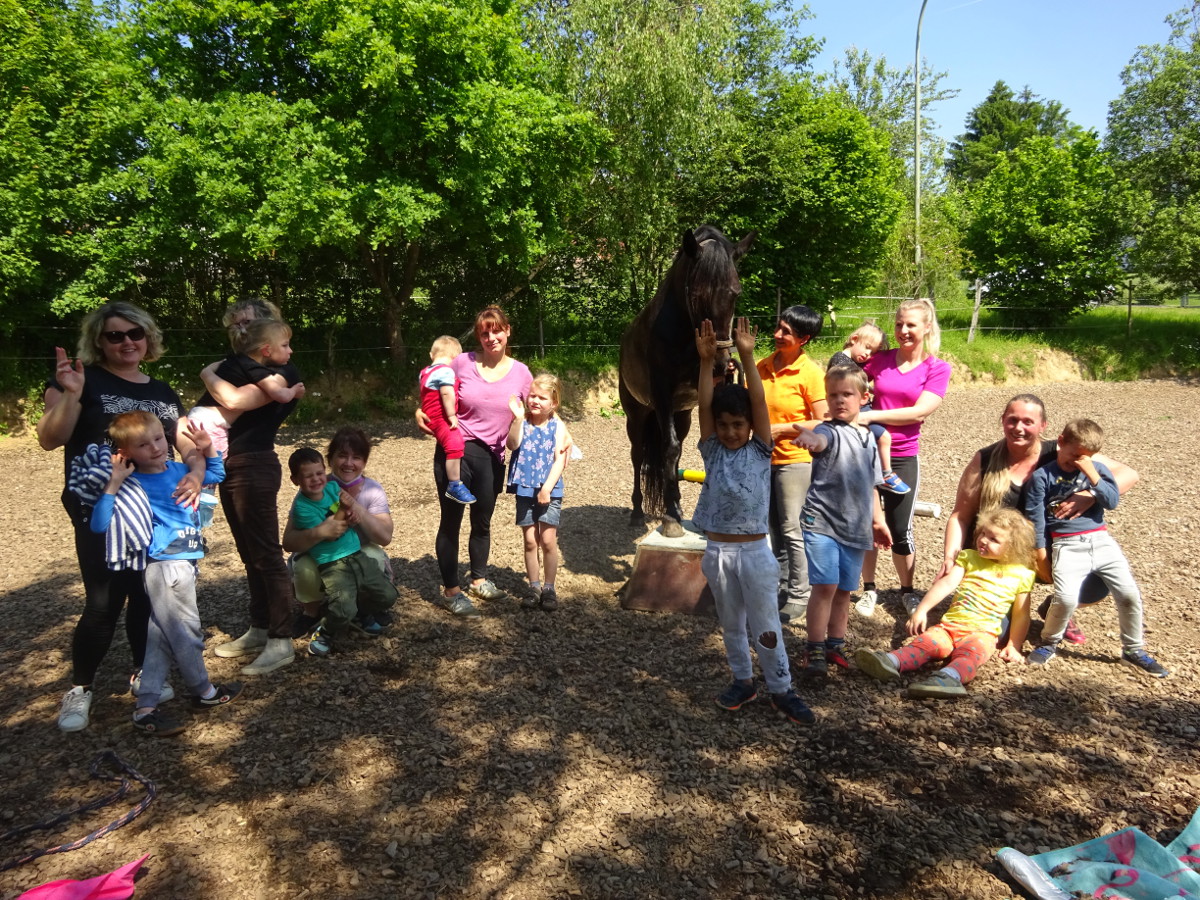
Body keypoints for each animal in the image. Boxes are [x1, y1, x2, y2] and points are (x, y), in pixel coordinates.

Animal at [624, 226, 753, 535]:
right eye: (697, 294)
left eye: (735, 293)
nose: (720, 361)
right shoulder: (661, 395)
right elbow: (668, 449)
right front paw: (671, 516)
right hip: (637, 415)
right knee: (638, 457)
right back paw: (638, 512)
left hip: (681, 414)